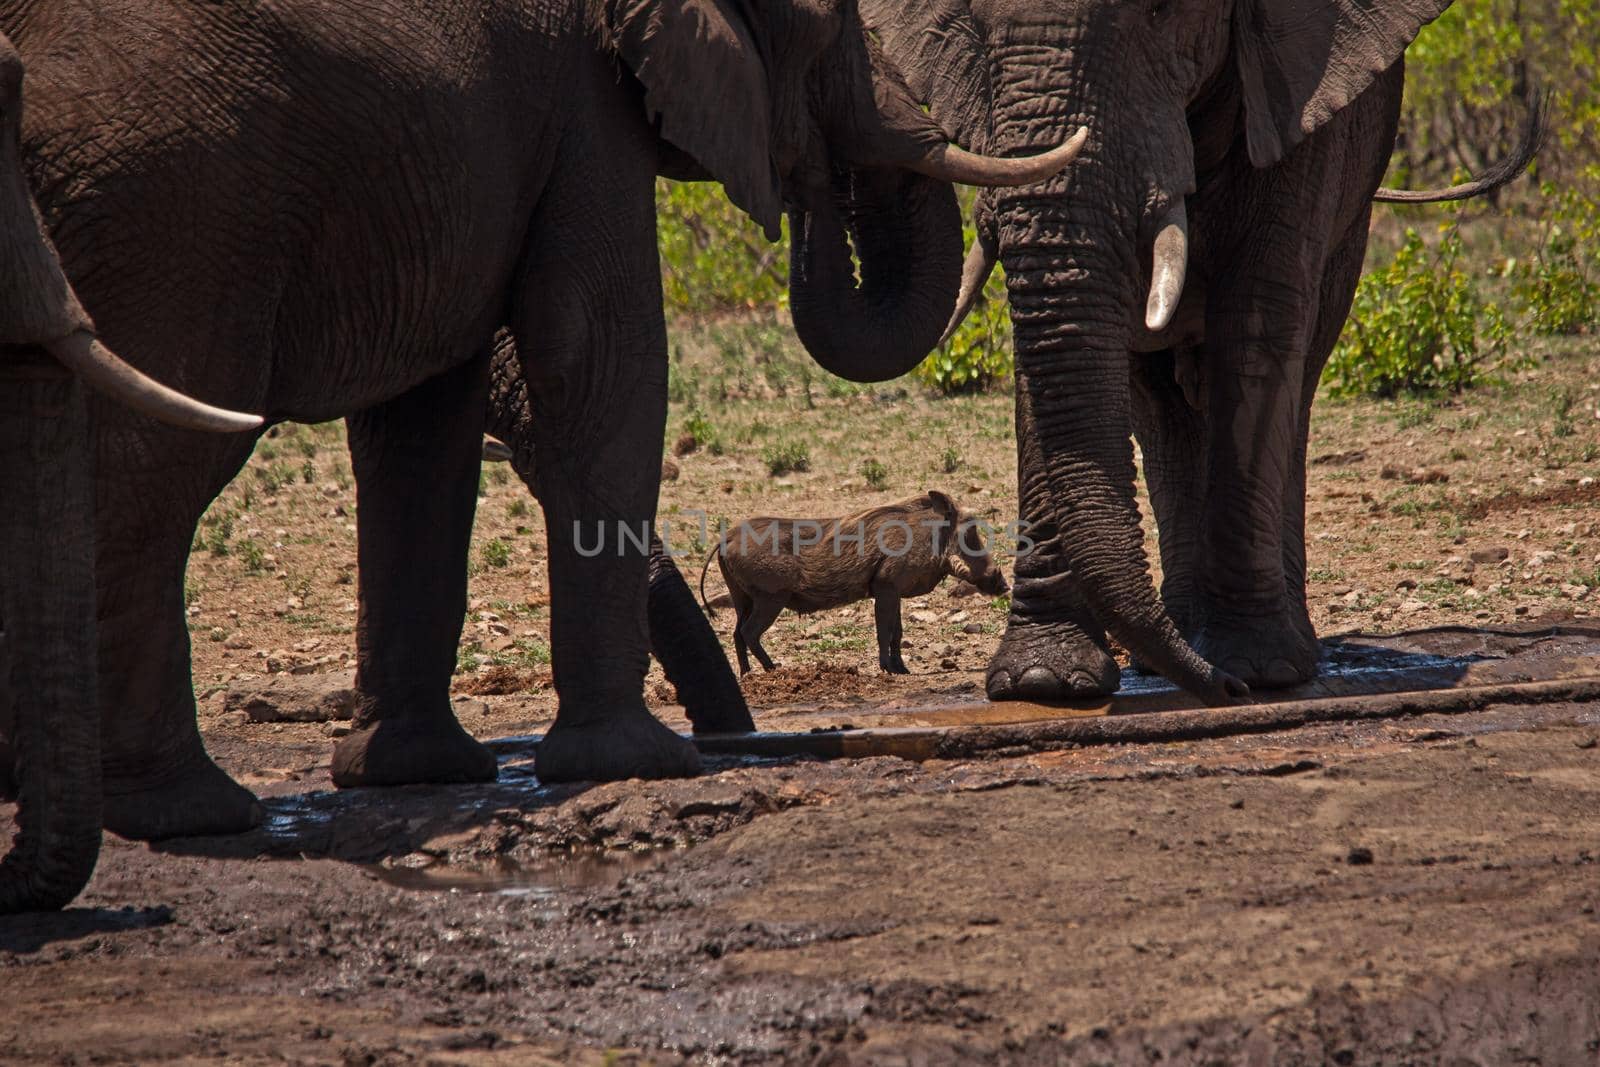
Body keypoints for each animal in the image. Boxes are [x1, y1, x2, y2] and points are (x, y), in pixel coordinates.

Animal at [864, 0, 1536, 700]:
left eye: (1163, 13)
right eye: (973, 20)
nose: (1227, 689)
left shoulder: (1299, 94)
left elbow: (1259, 315)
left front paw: (1256, 670)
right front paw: (1045, 682)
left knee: (1295, 372)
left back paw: (1263, 649)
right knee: (1159, 408)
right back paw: (1178, 642)